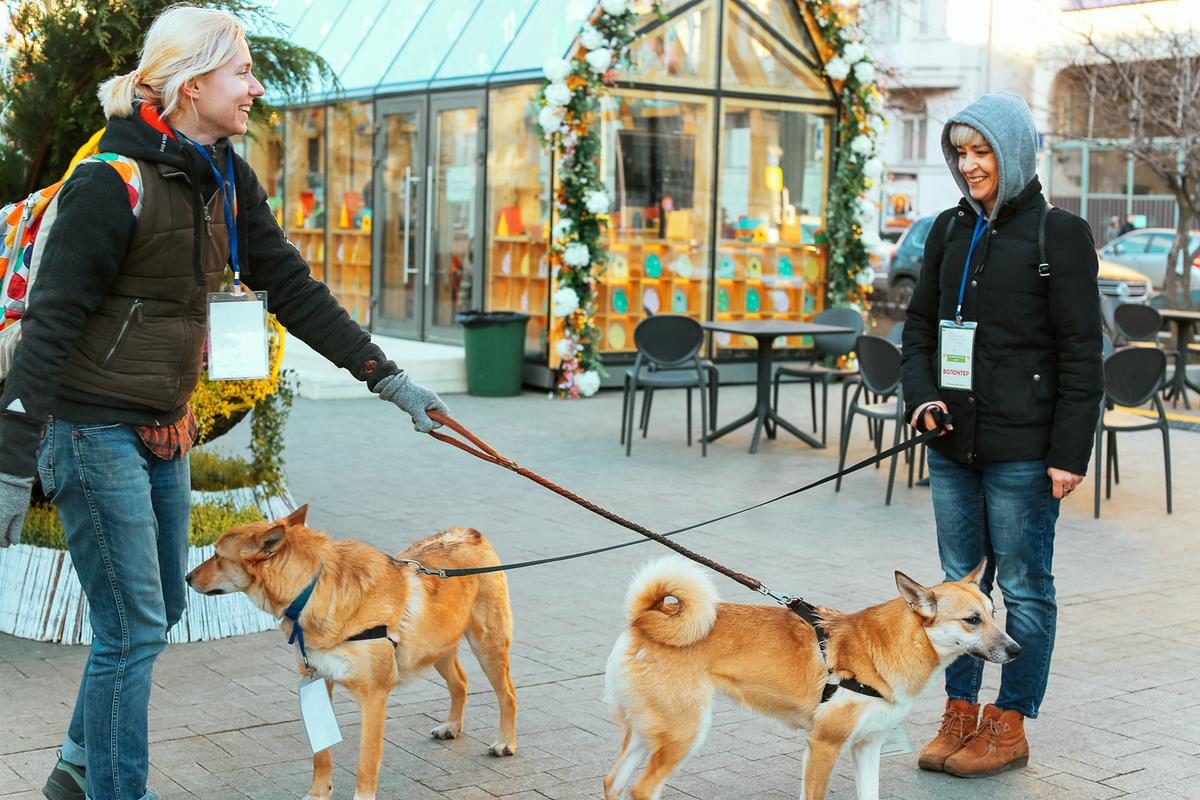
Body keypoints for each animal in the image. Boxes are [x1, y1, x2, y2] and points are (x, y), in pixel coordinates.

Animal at [186, 510, 516, 796]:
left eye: (217, 555)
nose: (187, 578)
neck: (311, 590)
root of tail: (469, 534)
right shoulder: (319, 683)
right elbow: (321, 756)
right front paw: (318, 794)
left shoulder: (373, 698)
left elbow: (366, 763)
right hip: (436, 650)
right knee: (460, 683)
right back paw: (452, 726)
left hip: (487, 647)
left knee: (508, 694)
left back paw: (505, 742)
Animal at [604, 556, 1017, 800]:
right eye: (972, 620)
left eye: (993, 613)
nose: (1017, 650)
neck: (886, 646)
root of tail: (645, 619)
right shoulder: (824, 745)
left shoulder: (867, 747)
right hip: (683, 735)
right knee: (641, 789)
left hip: (650, 733)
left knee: (614, 782)